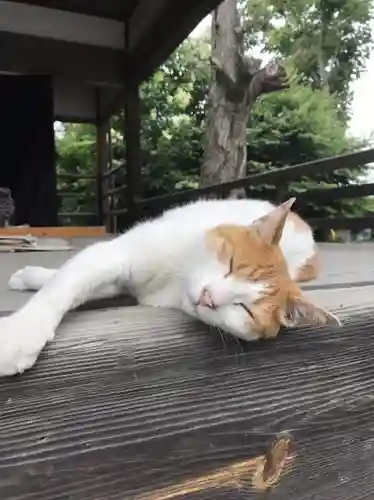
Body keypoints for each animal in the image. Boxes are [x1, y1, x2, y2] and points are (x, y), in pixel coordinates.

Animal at [0, 197, 338, 376]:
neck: (175, 278)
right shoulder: (118, 255)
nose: (209, 297)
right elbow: (64, 282)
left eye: (246, 310)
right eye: (230, 264)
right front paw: (21, 330)